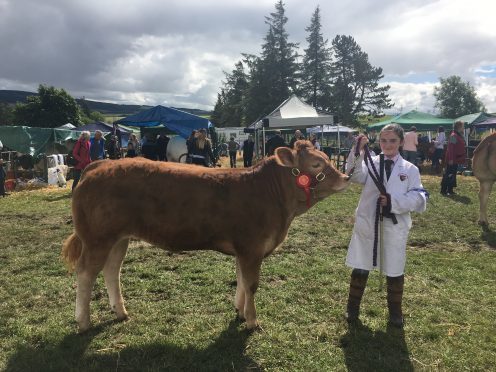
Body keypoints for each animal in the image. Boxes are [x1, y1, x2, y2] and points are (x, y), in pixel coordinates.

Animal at [62, 141, 348, 332]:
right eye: (316, 163)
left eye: (326, 157)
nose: (346, 177)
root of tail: (101, 164)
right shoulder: (252, 247)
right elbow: (252, 284)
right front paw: (253, 321)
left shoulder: (244, 250)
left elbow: (241, 280)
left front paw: (240, 312)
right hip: (97, 239)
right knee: (86, 273)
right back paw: (83, 321)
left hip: (118, 238)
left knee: (112, 270)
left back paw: (120, 312)